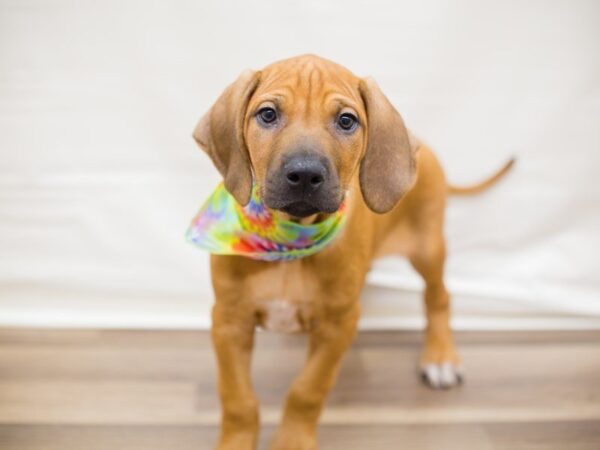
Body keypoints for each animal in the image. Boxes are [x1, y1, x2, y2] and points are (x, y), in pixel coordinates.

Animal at [191, 54, 510, 448]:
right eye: (267, 114)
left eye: (346, 121)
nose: (305, 174)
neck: (289, 238)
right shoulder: (229, 319)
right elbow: (237, 397)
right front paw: (236, 441)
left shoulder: (335, 326)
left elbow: (307, 389)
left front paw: (292, 441)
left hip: (428, 247)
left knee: (439, 296)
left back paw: (440, 357)